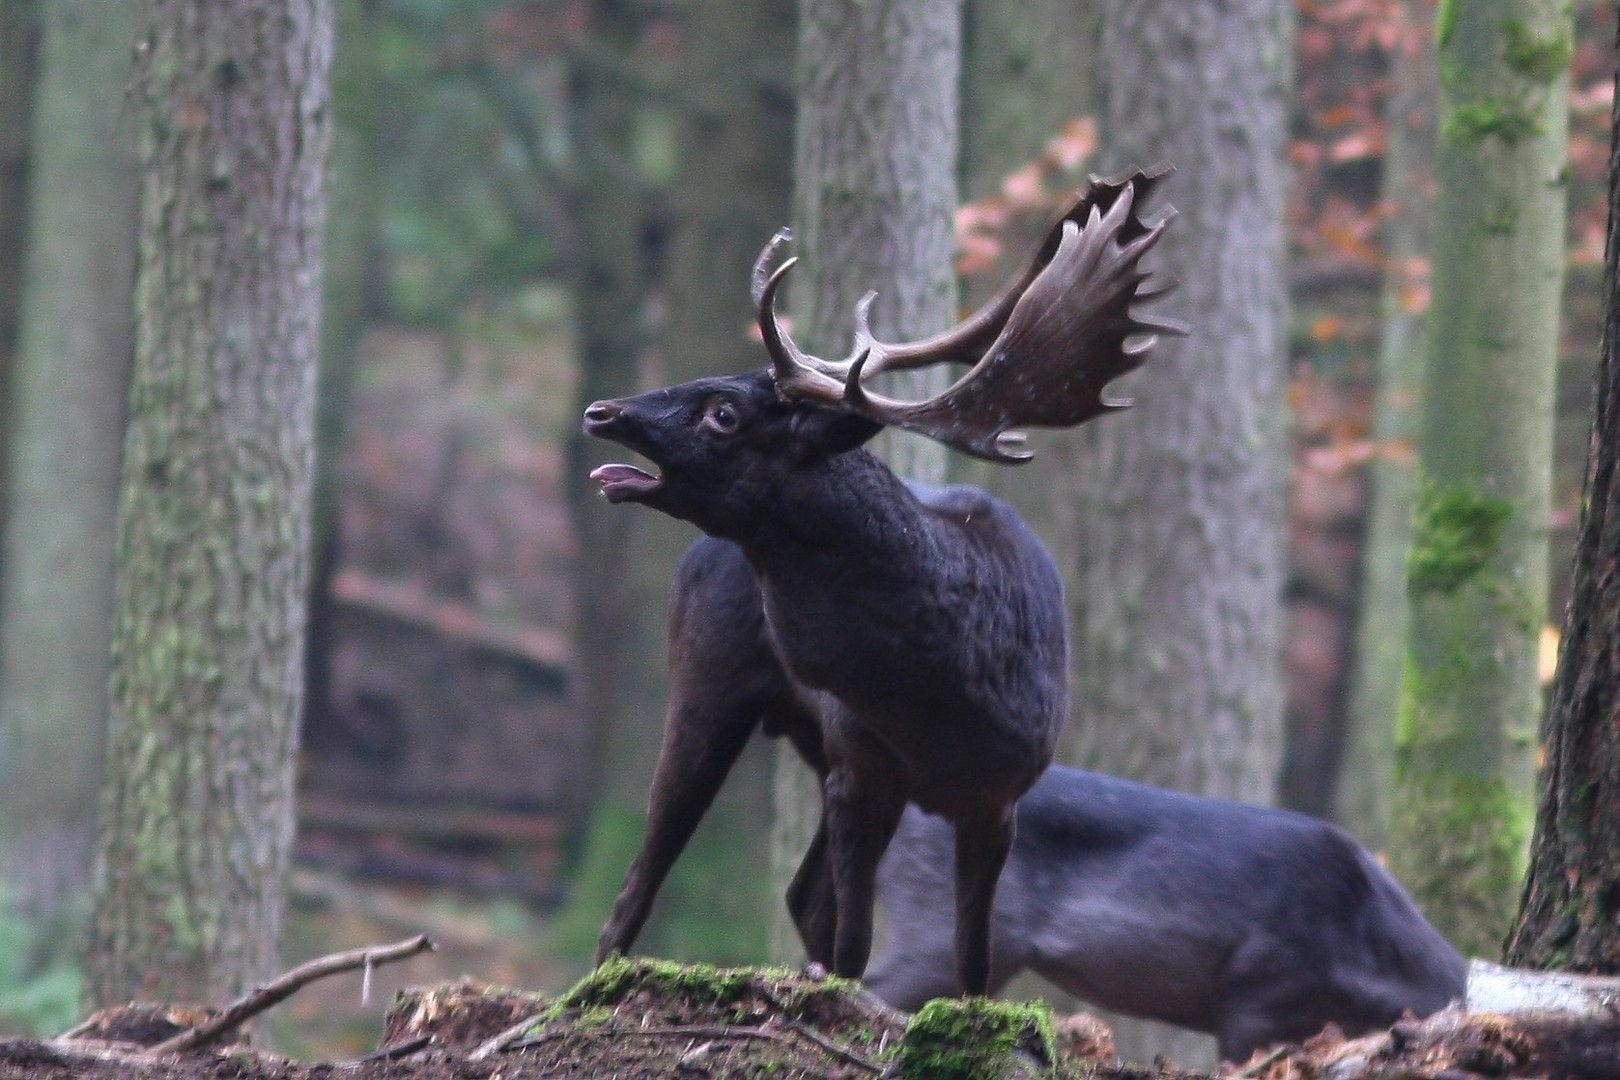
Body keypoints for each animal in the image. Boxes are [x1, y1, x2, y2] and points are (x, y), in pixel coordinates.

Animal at [583, 170, 1179, 997]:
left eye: (723, 412)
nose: (603, 410)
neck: (941, 697)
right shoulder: (861, 766)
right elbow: (855, 944)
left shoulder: (1000, 798)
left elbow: (971, 962)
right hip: (710, 679)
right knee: (640, 886)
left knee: (792, 896)